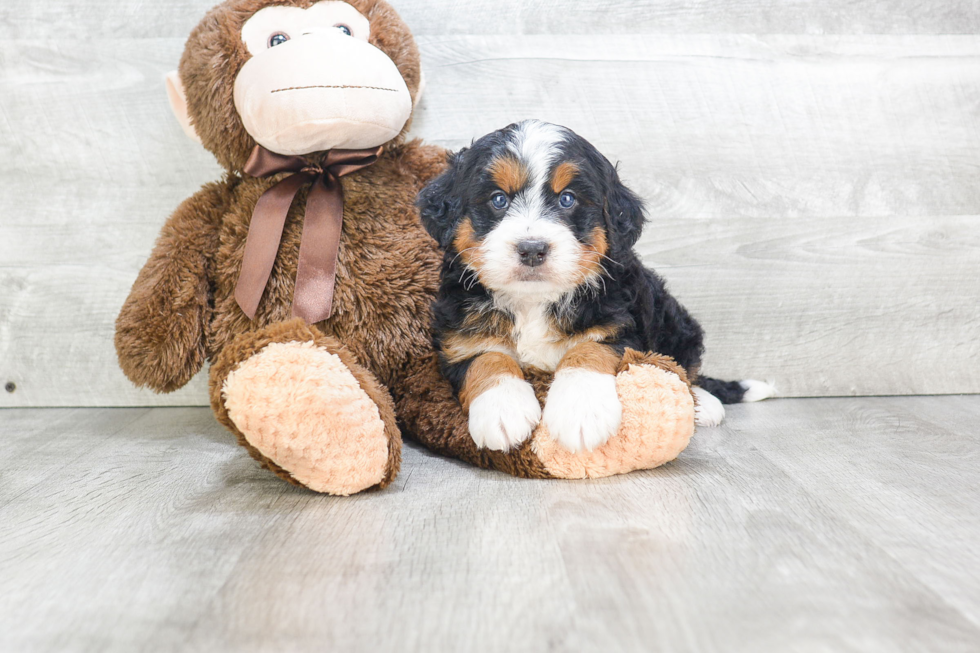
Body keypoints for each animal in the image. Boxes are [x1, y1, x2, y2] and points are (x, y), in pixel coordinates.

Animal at [414, 118, 772, 454]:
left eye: (567, 199)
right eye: (498, 200)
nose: (532, 249)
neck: (533, 302)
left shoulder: (622, 325)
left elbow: (588, 349)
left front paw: (581, 413)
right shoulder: (459, 337)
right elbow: (486, 357)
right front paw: (503, 410)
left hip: (676, 323)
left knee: (685, 366)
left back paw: (706, 403)